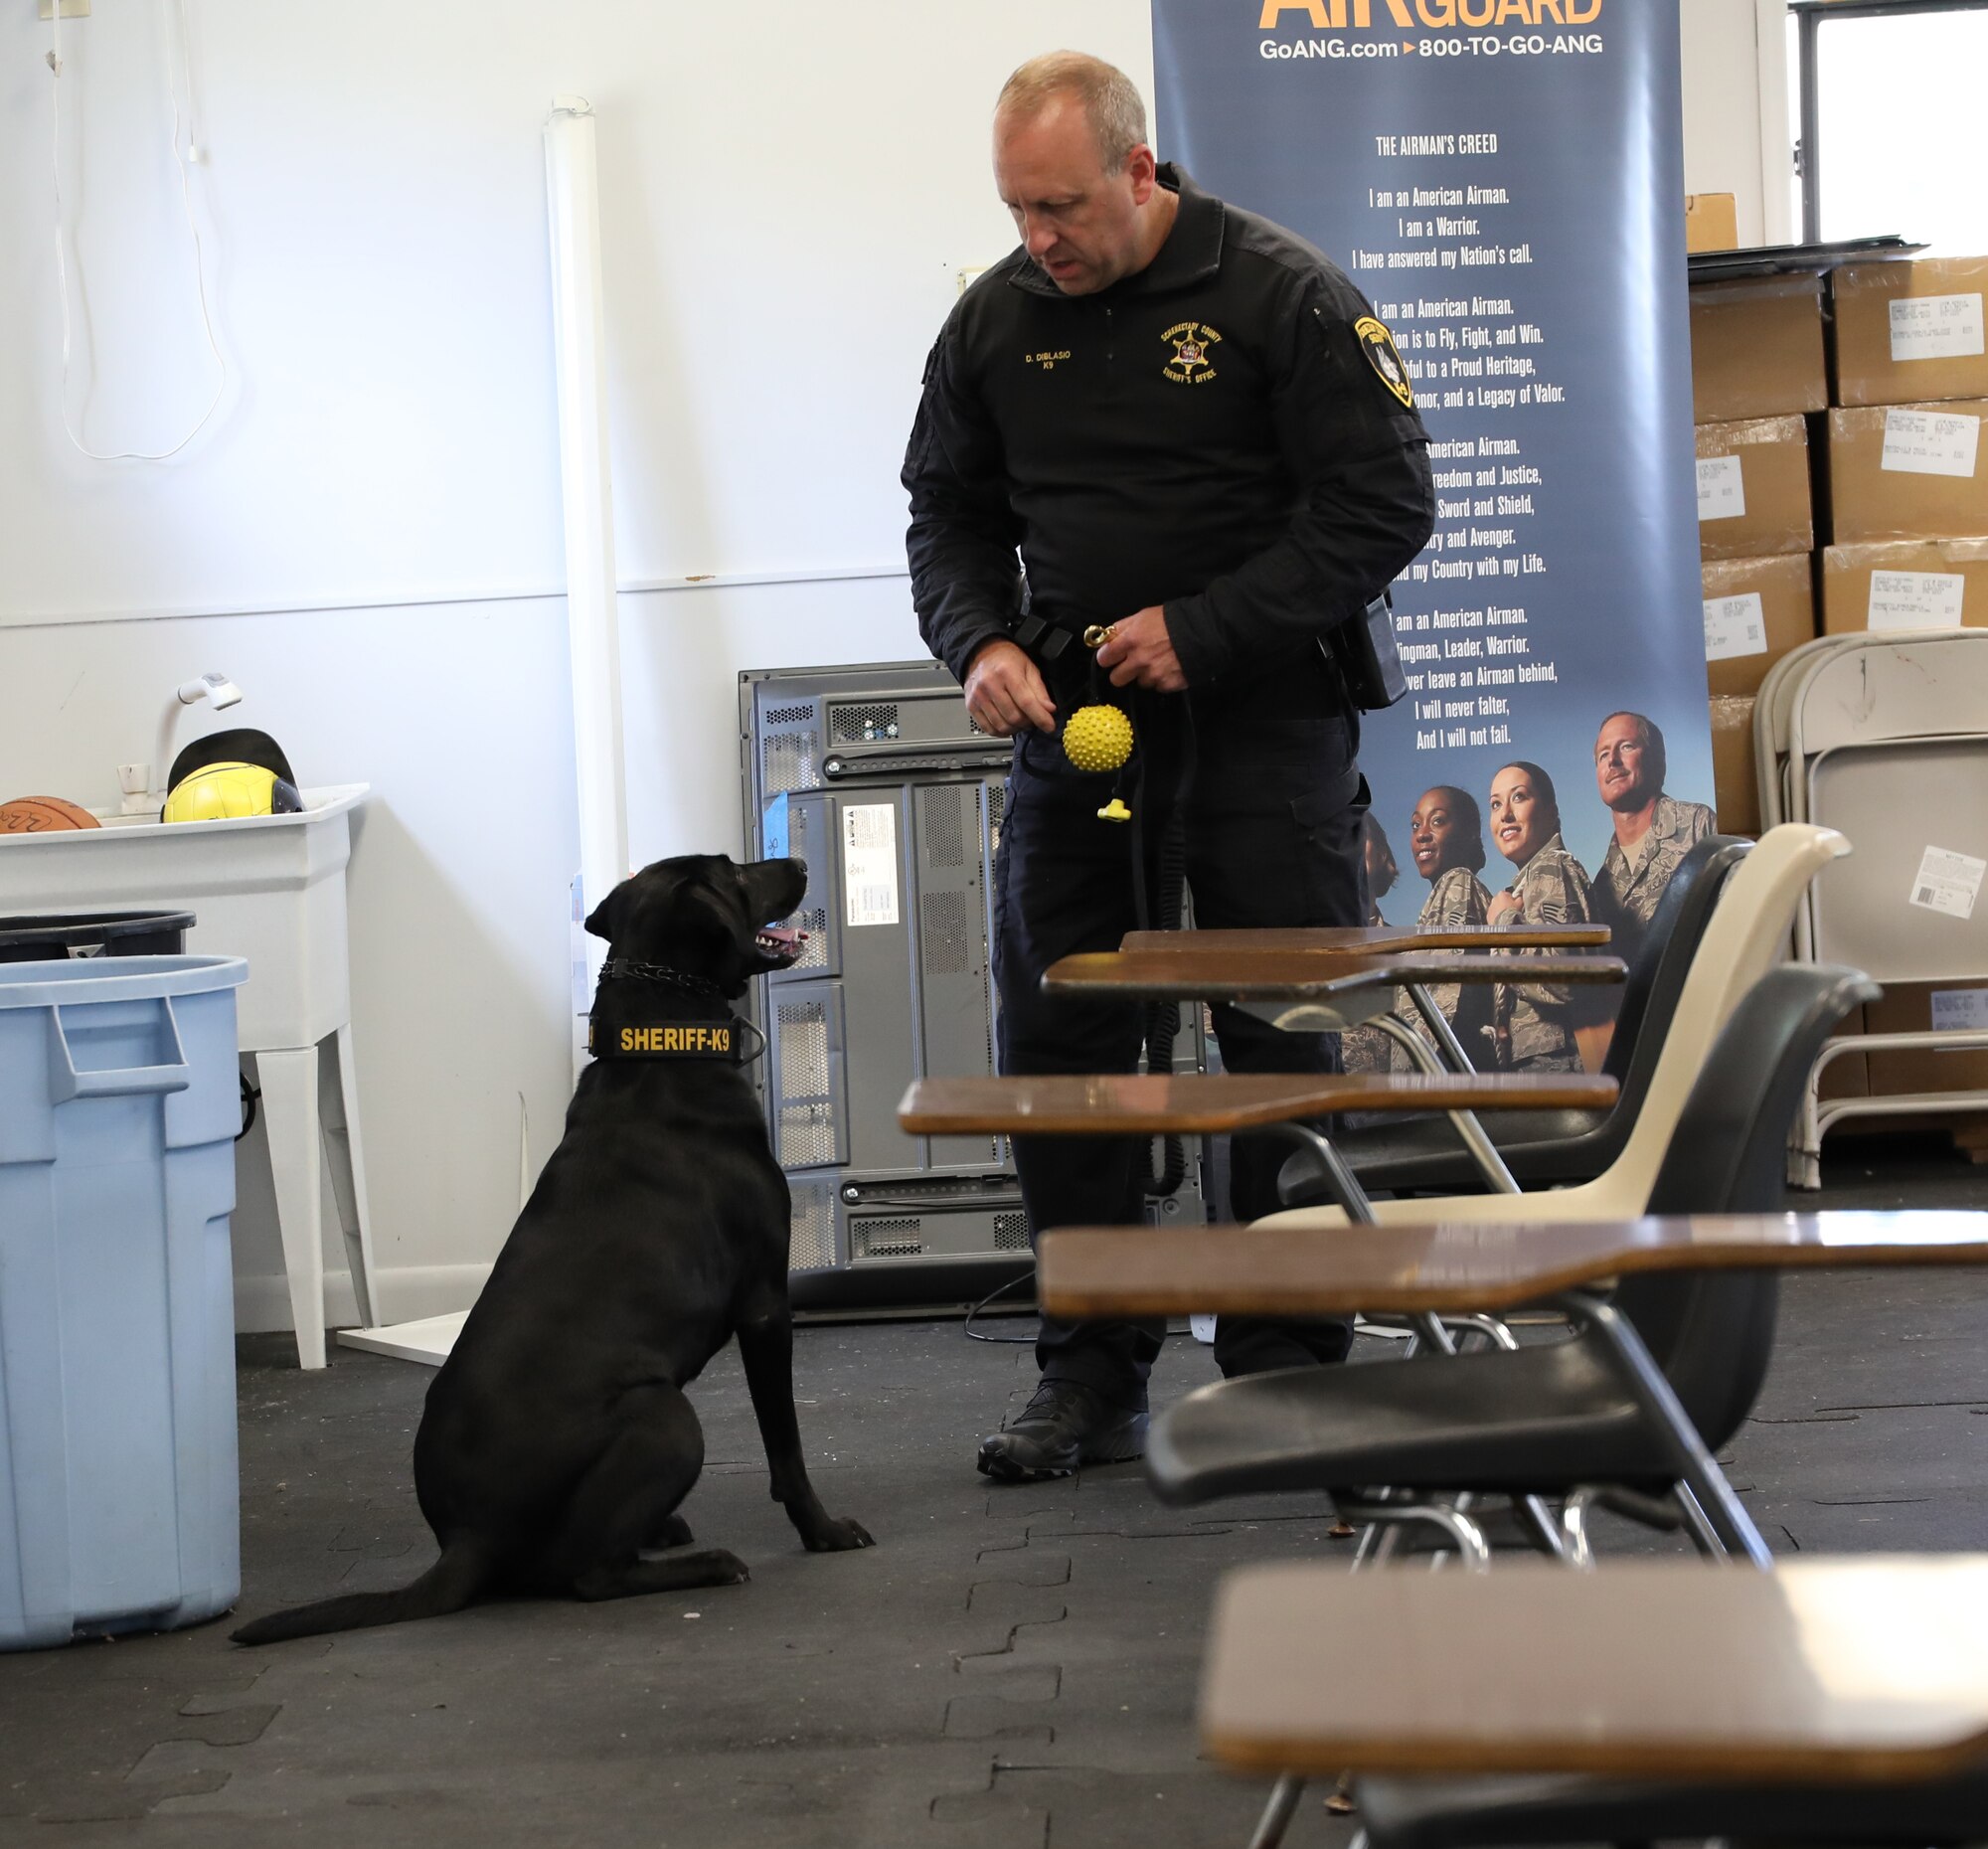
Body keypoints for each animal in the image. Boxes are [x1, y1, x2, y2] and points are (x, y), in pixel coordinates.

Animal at [229, 855, 867, 1646]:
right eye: (732, 870)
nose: (802, 863)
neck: (663, 1039)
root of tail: (466, 1538)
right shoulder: (765, 1306)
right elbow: (786, 1447)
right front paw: (823, 1529)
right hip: (665, 1416)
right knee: (589, 1577)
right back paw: (708, 1564)